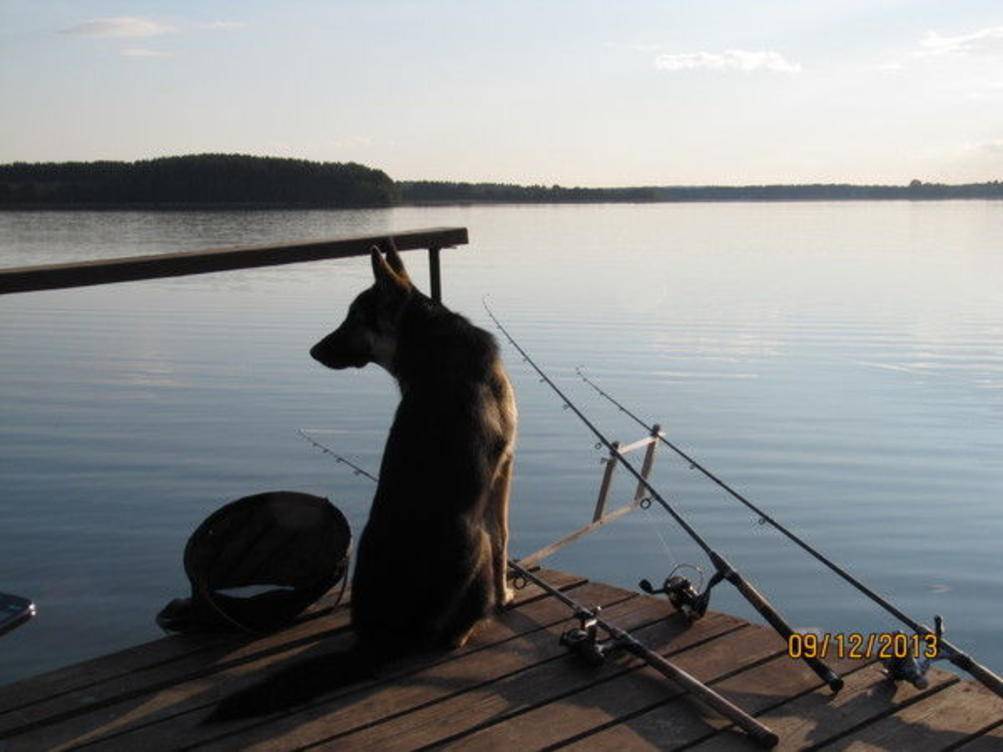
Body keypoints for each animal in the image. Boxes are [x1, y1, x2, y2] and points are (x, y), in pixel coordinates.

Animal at [206, 242, 513, 725]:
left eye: (353, 318)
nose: (313, 350)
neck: (429, 343)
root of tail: (380, 638)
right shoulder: (505, 467)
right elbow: (505, 537)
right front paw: (506, 594)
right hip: (473, 543)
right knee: (454, 622)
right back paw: (470, 626)